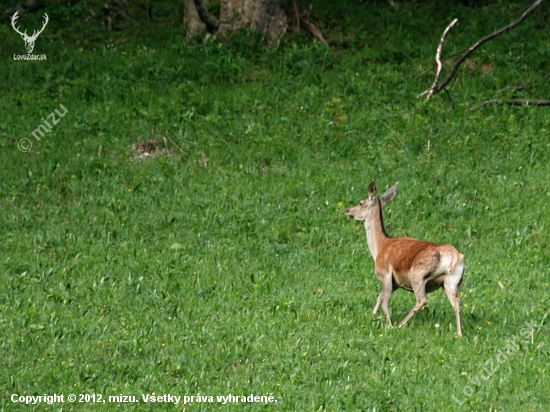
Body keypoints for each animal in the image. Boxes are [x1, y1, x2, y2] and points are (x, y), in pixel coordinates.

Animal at [348, 182, 468, 336]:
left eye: (361, 203)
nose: (347, 210)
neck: (379, 248)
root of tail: (455, 256)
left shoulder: (385, 273)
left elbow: (385, 301)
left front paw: (389, 325)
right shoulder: (397, 282)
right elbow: (380, 296)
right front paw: (372, 315)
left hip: (418, 274)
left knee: (422, 300)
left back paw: (400, 325)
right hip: (452, 281)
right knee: (457, 304)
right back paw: (459, 334)